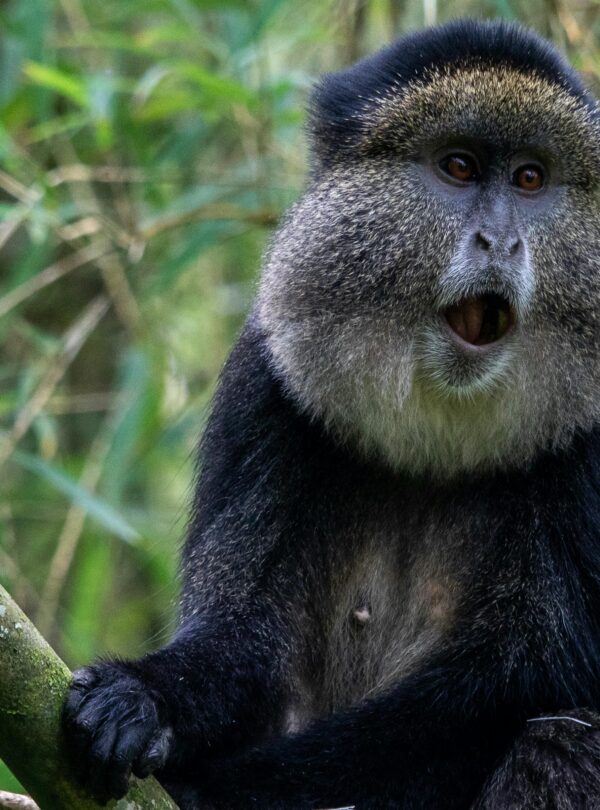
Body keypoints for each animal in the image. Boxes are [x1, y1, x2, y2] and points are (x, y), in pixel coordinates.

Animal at [62, 17, 600, 810]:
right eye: (460, 167)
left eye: (531, 178)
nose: (500, 241)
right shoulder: (265, 381)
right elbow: (243, 638)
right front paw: (141, 699)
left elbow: (513, 688)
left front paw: (212, 788)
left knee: (563, 739)